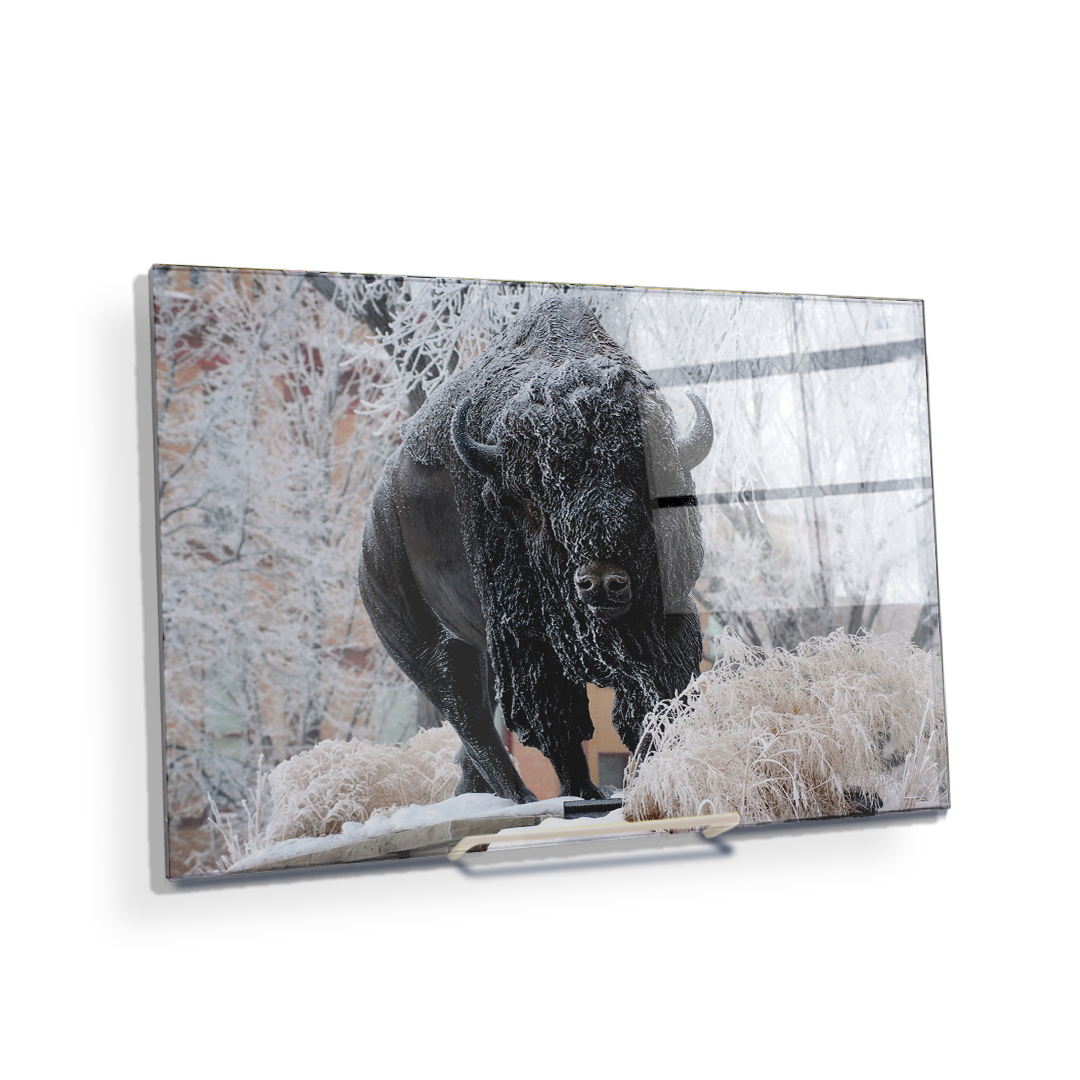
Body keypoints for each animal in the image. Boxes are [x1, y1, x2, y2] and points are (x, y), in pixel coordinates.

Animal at [358, 297, 712, 803]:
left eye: (644, 483)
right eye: (536, 496)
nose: (601, 582)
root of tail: (372, 531)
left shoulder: (669, 622)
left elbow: (660, 699)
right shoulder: (525, 642)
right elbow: (558, 722)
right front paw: (586, 794)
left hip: (479, 650)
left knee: (478, 716)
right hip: (423, 644)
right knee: (468, 713)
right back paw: (520, 798)